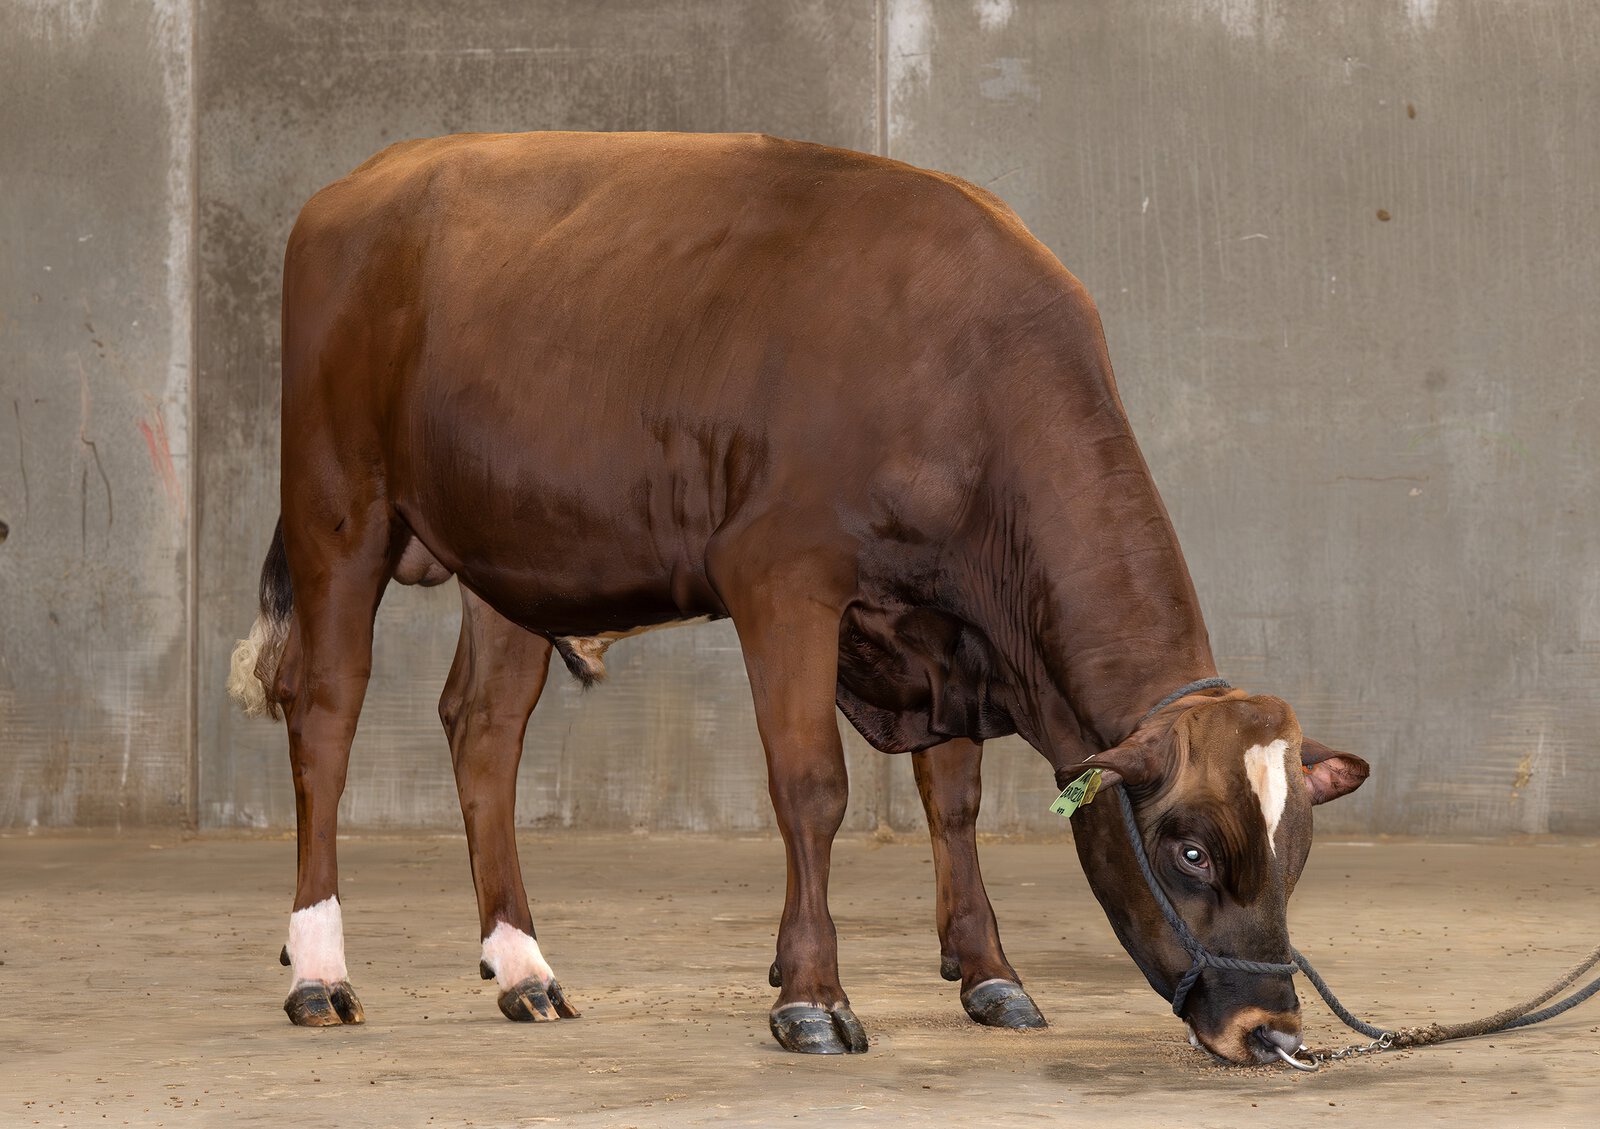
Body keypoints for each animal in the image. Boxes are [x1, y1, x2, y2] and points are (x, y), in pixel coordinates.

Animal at [227, 131, 1368, 1063]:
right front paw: (811, 994)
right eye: (1188, 847)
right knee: (324, 712)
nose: (1269, 1029)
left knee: (484, 729)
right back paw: (320, 968)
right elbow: (812, 789)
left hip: (507, 551)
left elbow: (953, 802)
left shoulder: (947, 627)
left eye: (1296, 851)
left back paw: (523, 968)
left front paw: (990, 974)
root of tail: (366, 180)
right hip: (340, 505)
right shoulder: (782, 576)